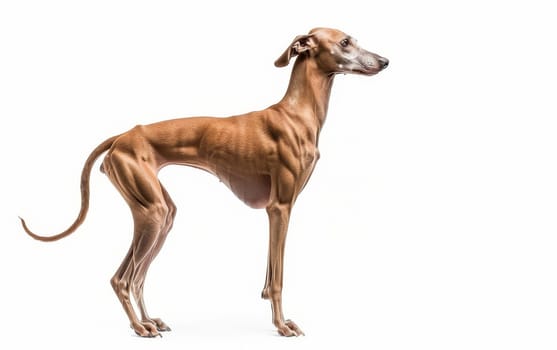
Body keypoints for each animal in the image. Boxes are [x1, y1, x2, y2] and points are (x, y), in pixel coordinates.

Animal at [20, 28, 386, 338]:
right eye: (345, 42)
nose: (385, 61)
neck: (297, 114)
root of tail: (122, 136)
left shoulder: (276, 210)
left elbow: (270, 274)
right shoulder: (280, 208)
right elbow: (279, 277)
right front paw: (282, 326)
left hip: (162, 214)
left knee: (138, 277)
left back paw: (149, 321)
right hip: (151, 212)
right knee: (122, 278)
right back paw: (139, 328)